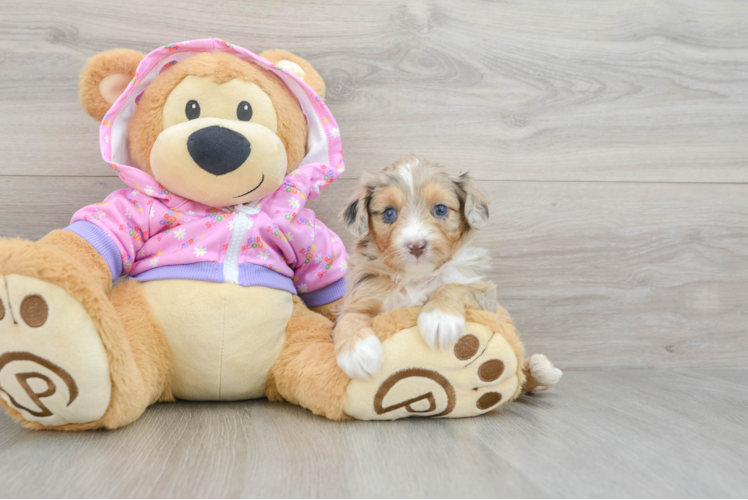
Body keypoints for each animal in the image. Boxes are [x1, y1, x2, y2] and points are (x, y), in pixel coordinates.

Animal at [336, 154, 500, 376]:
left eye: (440, 209)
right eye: (389, 213)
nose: (416, 245)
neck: (415, 277)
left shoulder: (485, 296)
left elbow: (453, 286)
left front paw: (440, 317)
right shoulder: (359, 296)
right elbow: (349, 317)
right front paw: (358, 353)